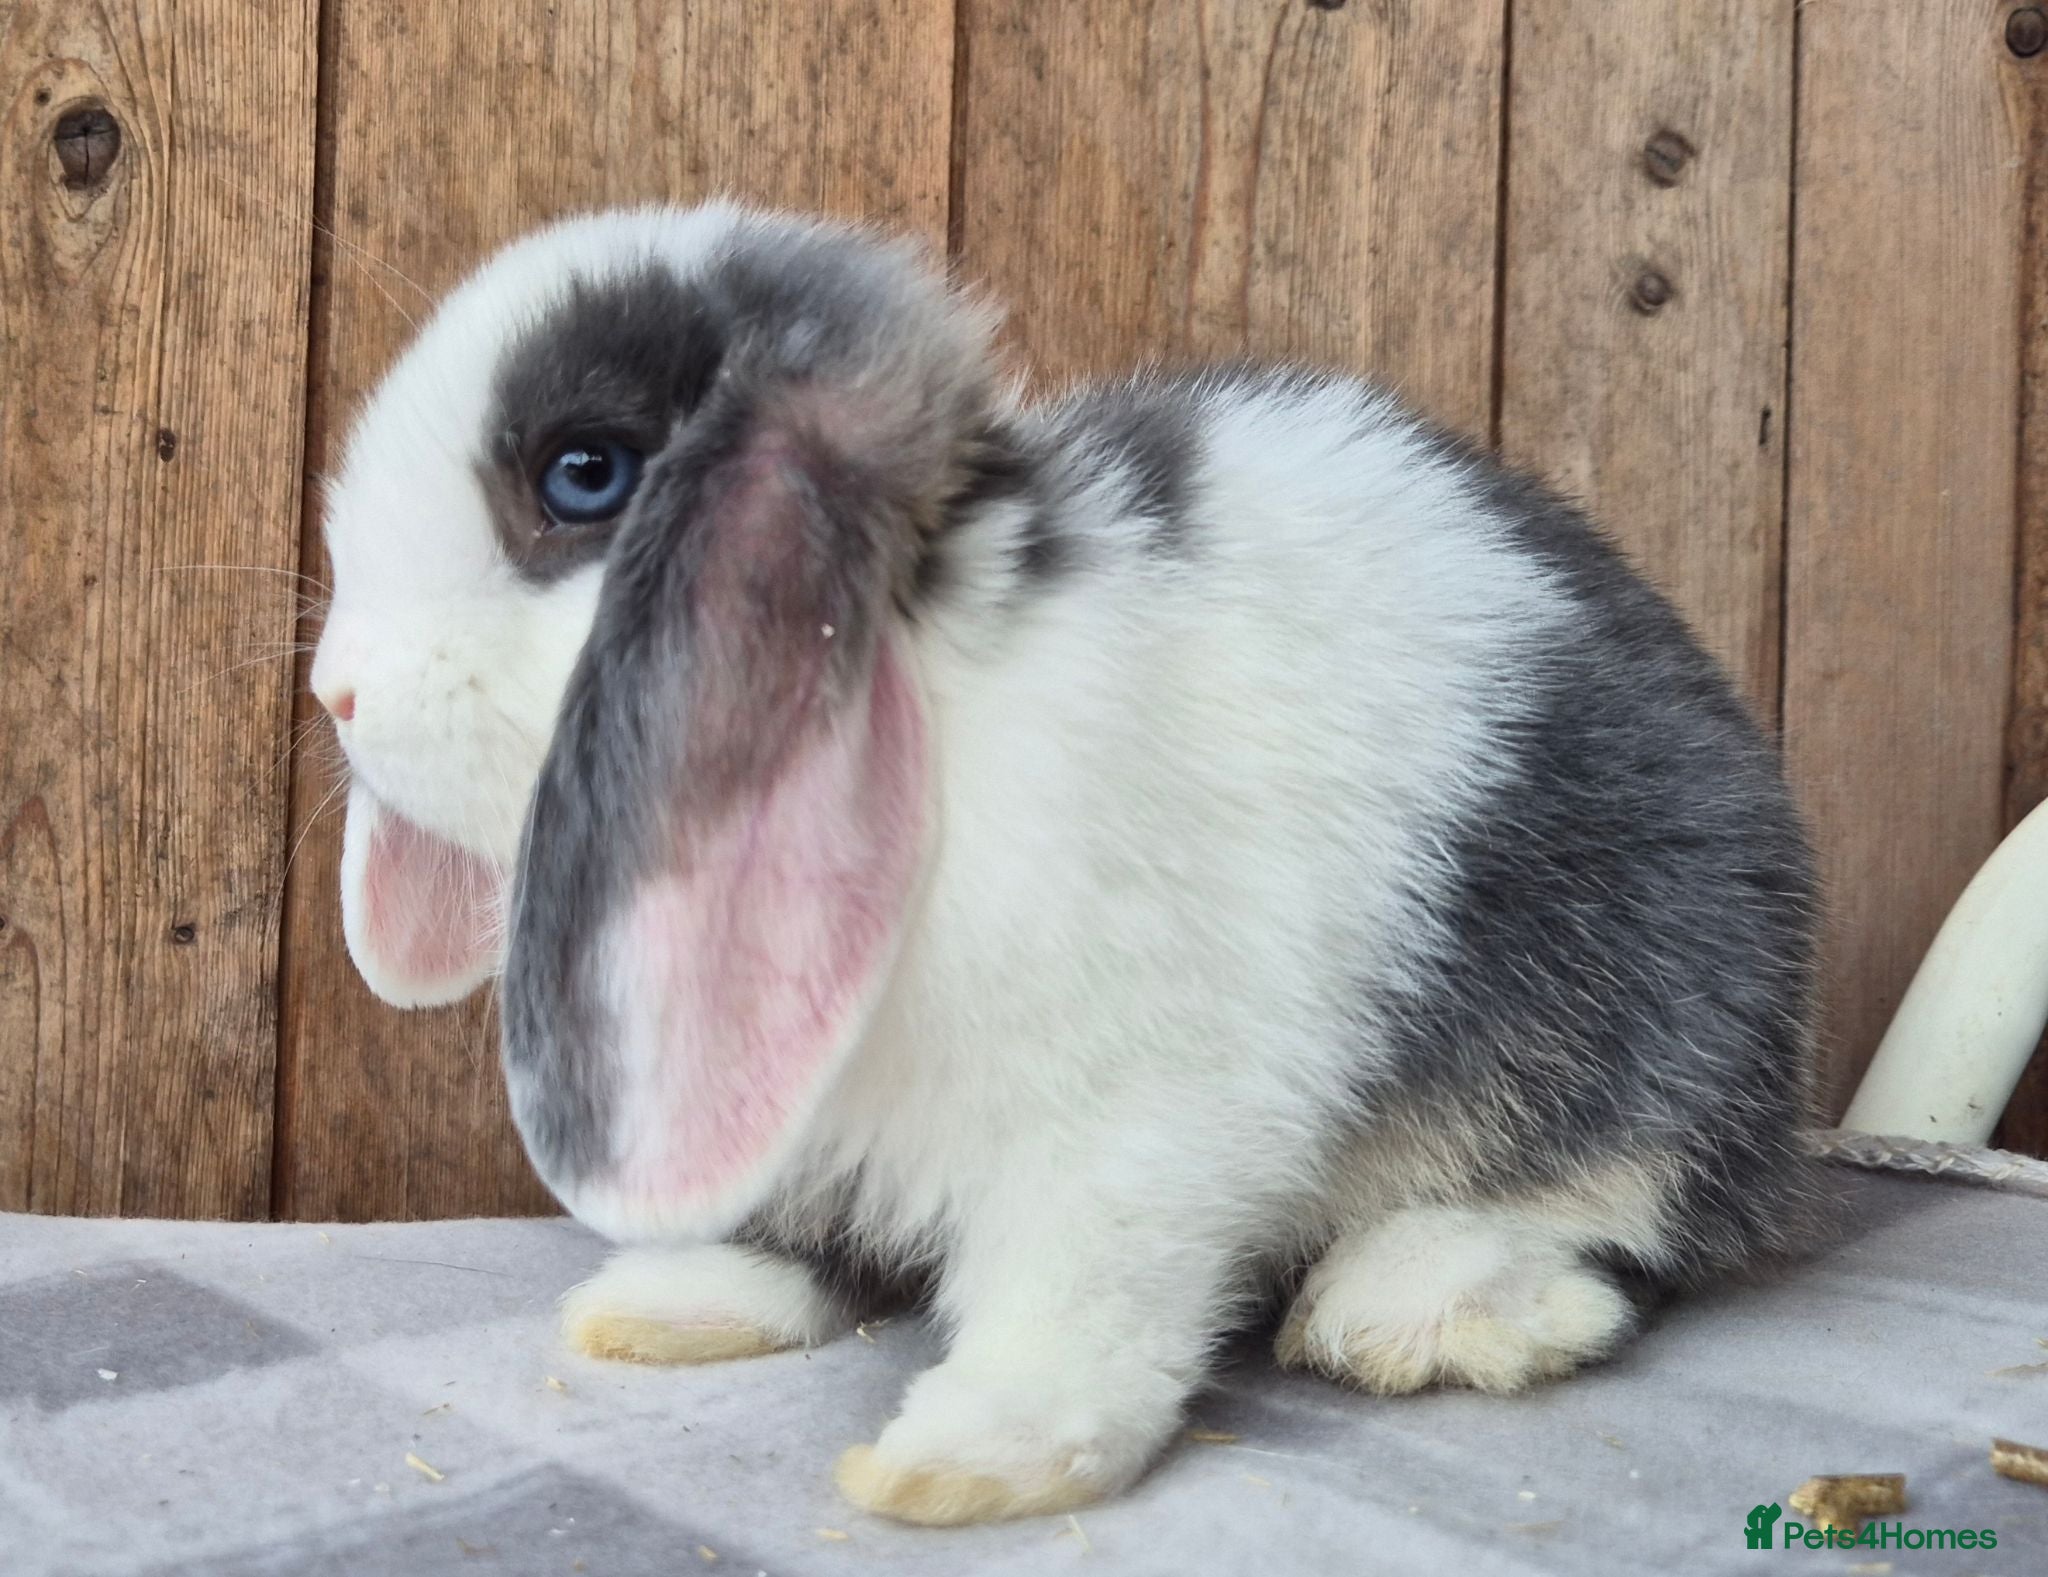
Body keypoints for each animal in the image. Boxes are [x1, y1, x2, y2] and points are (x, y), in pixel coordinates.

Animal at [312, 203, 1822, 1526]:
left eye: (586, 475)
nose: (335, 692)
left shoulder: (1129, 1117)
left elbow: (1083, 1287)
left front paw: (980, 1458)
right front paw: (681, 1298)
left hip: (1658, 1001)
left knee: (1637, 1212)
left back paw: (1425, 1300)